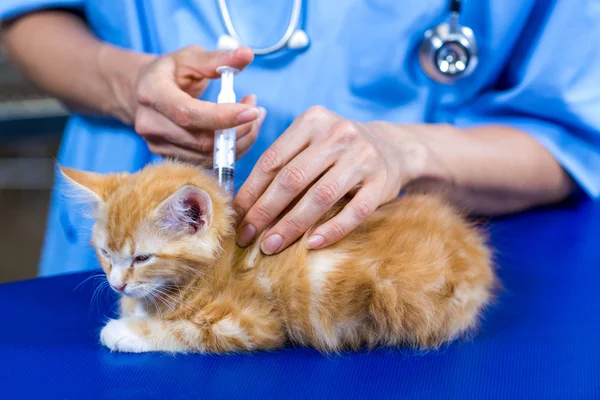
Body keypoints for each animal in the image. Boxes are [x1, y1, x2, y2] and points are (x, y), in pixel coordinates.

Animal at [59, 161, 496, 352]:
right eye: (105, 253)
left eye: (142, 258)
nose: (116, 283)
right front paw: (131, 309)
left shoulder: (251, 323)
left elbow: (183, 332)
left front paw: (125, 330)